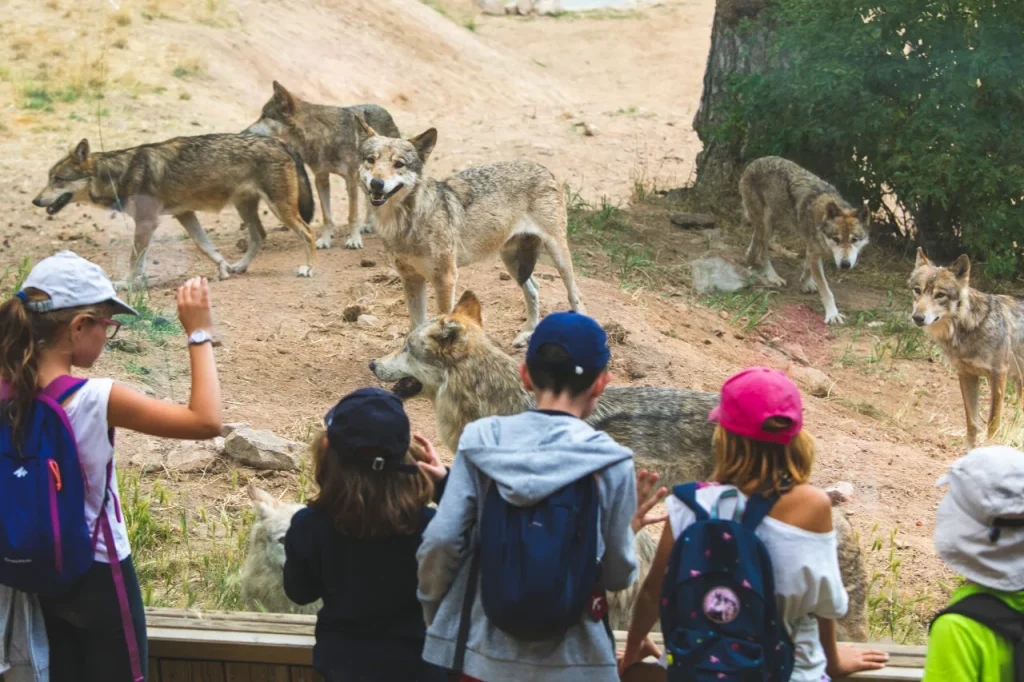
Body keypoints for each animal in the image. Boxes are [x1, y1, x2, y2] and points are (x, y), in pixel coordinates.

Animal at [32, 135, 317, 284]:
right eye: (48, 178)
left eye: (58, 180)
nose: (35, 201)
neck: (118, 175)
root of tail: (279, 141)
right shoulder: (184, 214)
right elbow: (206, 247)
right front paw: (224, 268)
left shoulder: (147, 223)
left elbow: (134, 259)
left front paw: (127, 284)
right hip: (245, 207)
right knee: (260, 236)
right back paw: (239, 267)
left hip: (281, 210)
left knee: (308, 232)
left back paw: (309, 268)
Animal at [244, 81, 401, 251]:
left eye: (264, 116)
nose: (244, 131)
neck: (322, 135)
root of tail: (383, 109)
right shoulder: (321, 178)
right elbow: (327, 216)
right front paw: (325, 240)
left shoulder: (350, 179)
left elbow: (352, 215)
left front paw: (353, 239)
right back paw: (367, 224)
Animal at [354, 117, 584, 347]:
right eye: (371, 160)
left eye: (399, 164)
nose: (377, 183)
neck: (405, 222)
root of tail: (543, 168)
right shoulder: (411, 279)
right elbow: (414, 328)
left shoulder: (446, 279)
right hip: (513, 263)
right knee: (534, 288)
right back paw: (528, 333)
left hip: (558, 256)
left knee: (575, 295)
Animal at [740, 156, 871, 325]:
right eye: (836, 239)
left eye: (854, 239)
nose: (845, 265)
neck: (821, 220)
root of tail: (755, 161)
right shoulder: (814, 251)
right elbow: (826, 290)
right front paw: (832, 314)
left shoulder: (814, 250)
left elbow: (808, 267)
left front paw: (805, 283)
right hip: (767, 224)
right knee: (763, 249)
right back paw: (772, 276)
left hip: (771, 222)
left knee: (756, 238)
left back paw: (750, 257)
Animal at [910, 248, 1024, 448]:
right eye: (917, 290)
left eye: (940, 295)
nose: (917, 317)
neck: (972, 326)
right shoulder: (966, 374)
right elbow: (971, 420)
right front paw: (968, 448)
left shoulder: (998, 375)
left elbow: (993, 421)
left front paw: (989, 448)